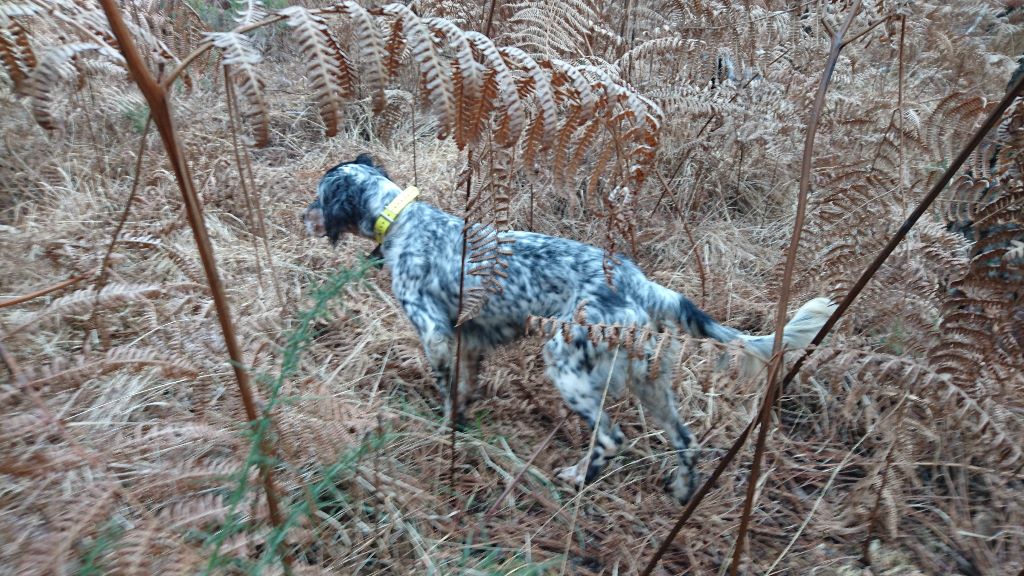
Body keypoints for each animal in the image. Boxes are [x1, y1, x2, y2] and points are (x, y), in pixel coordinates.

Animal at [301, 154, 831, 500]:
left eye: (320, 197)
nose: (303, 216)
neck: (402, 218)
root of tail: (641, 285)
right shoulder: (469, 338)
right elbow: (466, 387)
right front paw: (463, 424)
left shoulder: (435, 333)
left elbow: (447, 388)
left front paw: (446, 427)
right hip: (650, 381)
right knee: (686, 440)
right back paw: (681, 491)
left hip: (568, 367)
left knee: (612, 439)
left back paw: (579, 477)